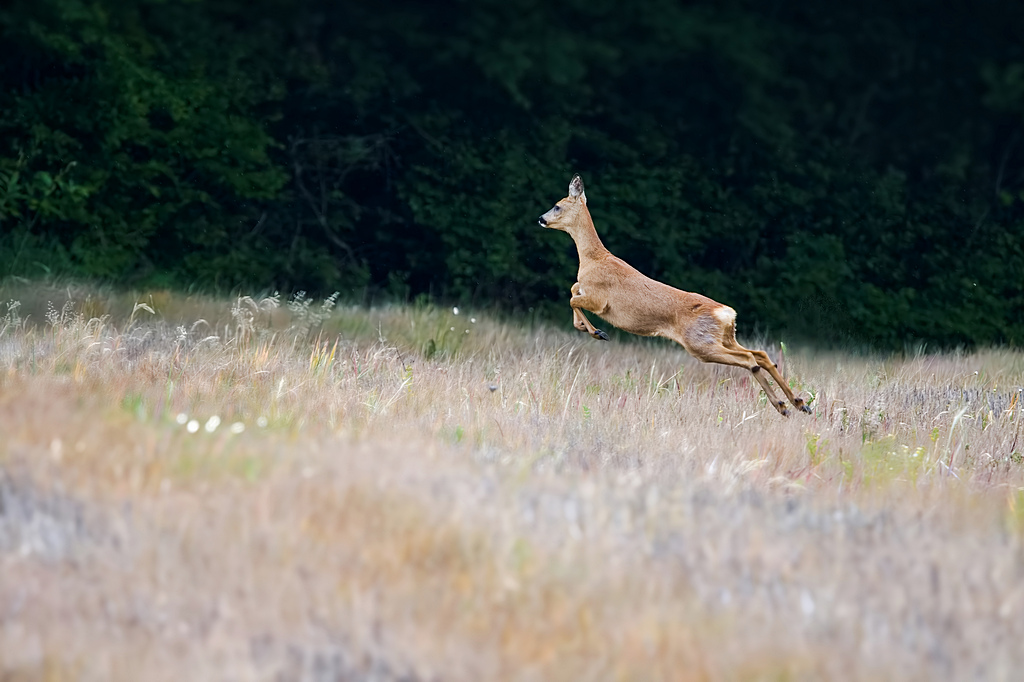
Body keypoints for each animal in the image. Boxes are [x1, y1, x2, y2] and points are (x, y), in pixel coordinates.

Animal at [540, 173, 811, 413]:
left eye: (557, 206)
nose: (541, 218)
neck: (592, 258)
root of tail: (727, 313)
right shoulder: (588, 291)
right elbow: (573, 289)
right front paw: (591, 329)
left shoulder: (599, 300)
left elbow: (572, 297)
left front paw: (597, 332)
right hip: (724, 338)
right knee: (761, 355)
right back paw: (798, 404)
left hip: (699, 343)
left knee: (749, 360)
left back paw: (784, 405)